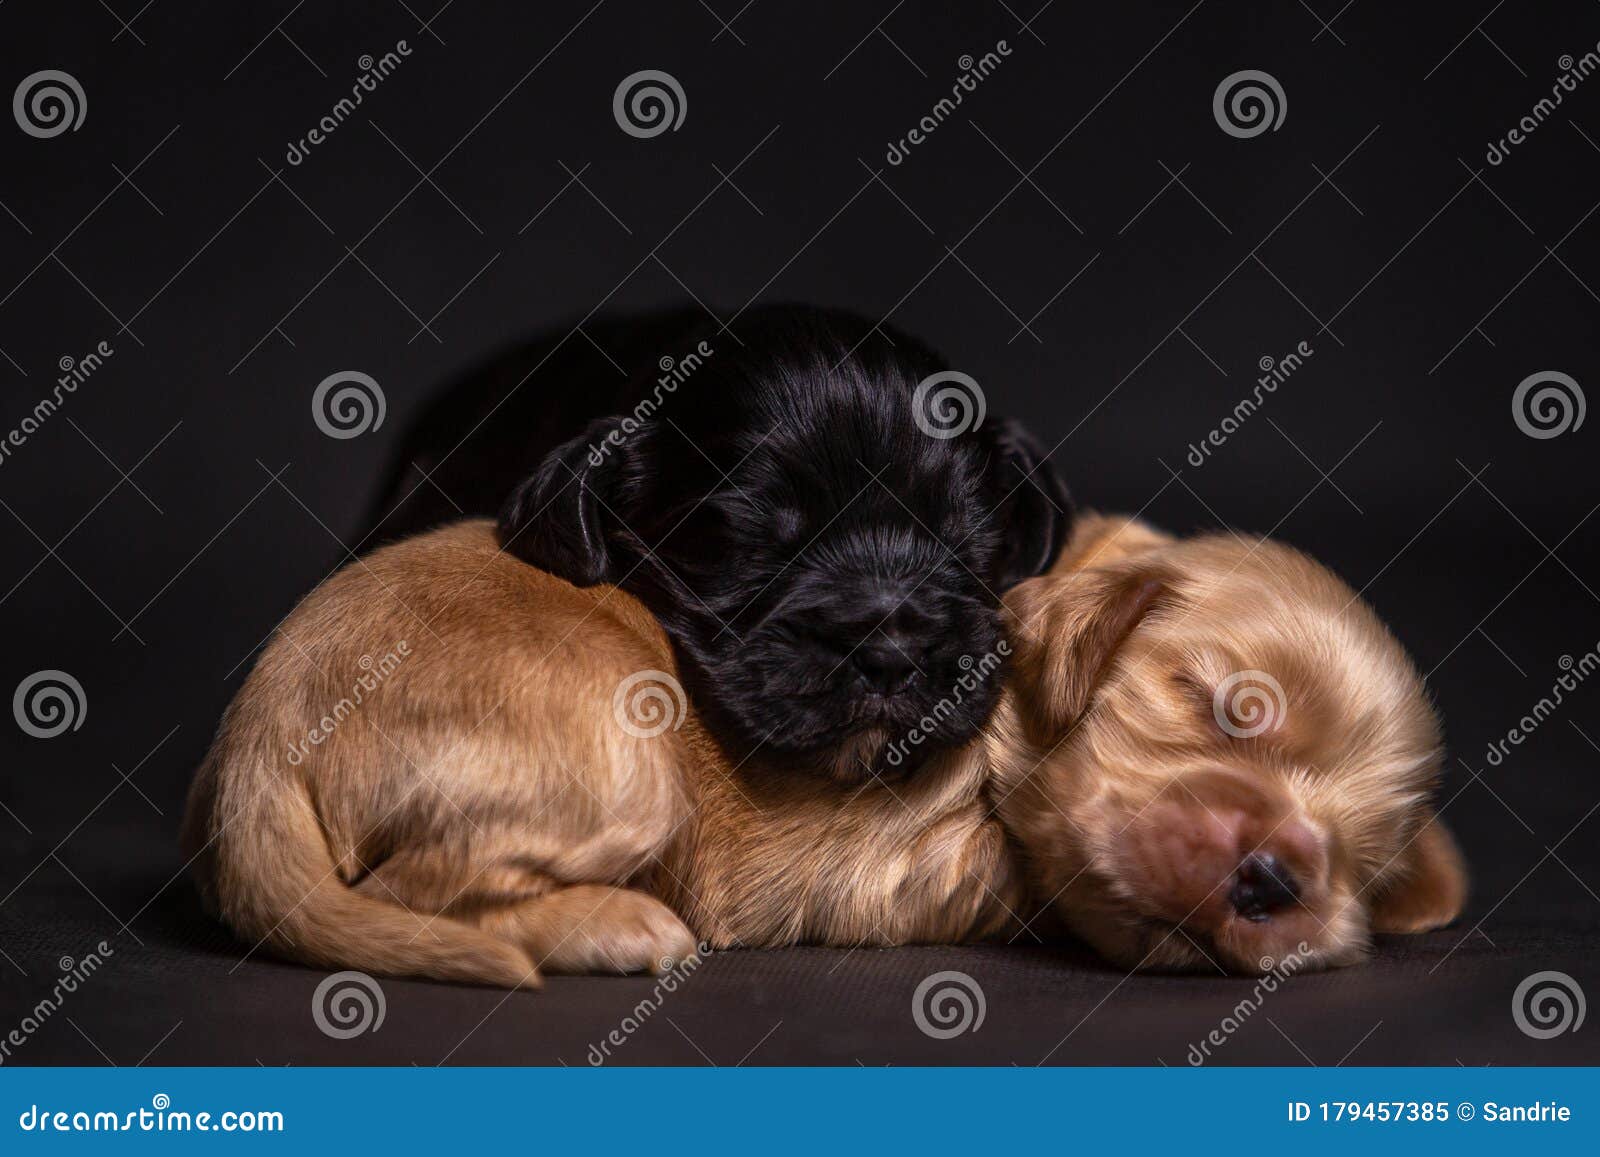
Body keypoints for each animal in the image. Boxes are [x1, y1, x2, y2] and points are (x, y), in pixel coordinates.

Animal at [184, 515, 1465, 985]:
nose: (1280, 872)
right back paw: (614, 923)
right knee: (414, 886)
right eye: (1214, 706)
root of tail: (253, 740)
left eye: (1362, 852)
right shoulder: (896, 855)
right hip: (621, 766)